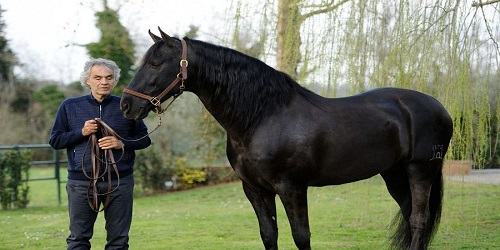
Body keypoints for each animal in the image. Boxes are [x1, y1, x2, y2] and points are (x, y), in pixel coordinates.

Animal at [120, 29, 454, 250]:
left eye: (155, 63)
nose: (126, 105)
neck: (263, 116)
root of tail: (439, 107)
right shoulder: (254, 189)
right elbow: (269, 234)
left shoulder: (291, 187)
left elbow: (301, 236)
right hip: (393, 174)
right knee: (410, 217)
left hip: (420, 170)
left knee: (418, 221)